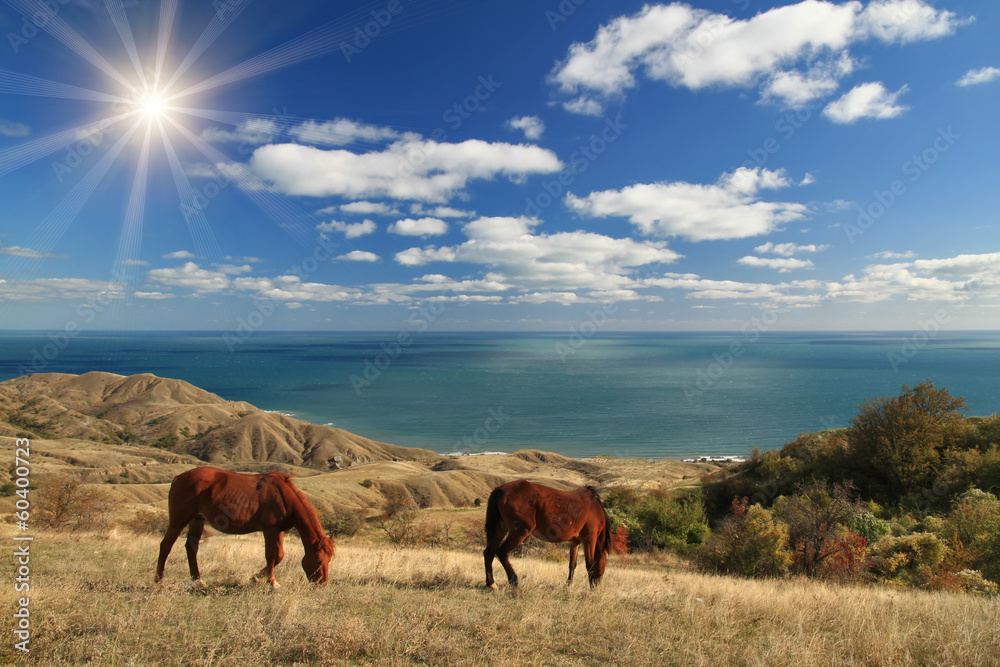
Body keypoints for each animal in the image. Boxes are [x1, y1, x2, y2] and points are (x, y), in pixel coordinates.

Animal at [156, 468, 334, 588]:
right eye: (318, 561)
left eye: (329, 559)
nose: (322, 585)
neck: (283, 496)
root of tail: (178, 477)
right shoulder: (269, 530)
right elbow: (271, 556)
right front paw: (271, 583)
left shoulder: (279, 530)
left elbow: (279, 556)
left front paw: (256, 577)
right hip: (179, 521)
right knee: (166, 546)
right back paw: (158, 580)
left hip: (197, 520)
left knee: (191, 548)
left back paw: (197, 581)